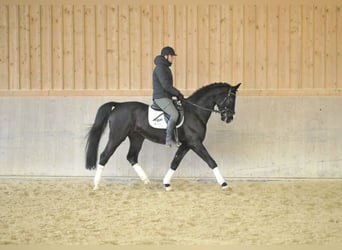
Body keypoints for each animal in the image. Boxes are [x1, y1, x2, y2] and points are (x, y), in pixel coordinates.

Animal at [85, 83, 240, 190]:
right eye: (231, 99)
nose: (229, 118)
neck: (195, 112)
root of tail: (117, 105)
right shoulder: (195, 143)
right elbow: (211, 161)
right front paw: (224, 184)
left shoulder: (187, 144)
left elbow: (175, 162)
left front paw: (166, 183)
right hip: (117, 137)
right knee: (104, 156)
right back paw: (96, 184)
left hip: (136, 138)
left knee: (131, 157)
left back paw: (147, 181)